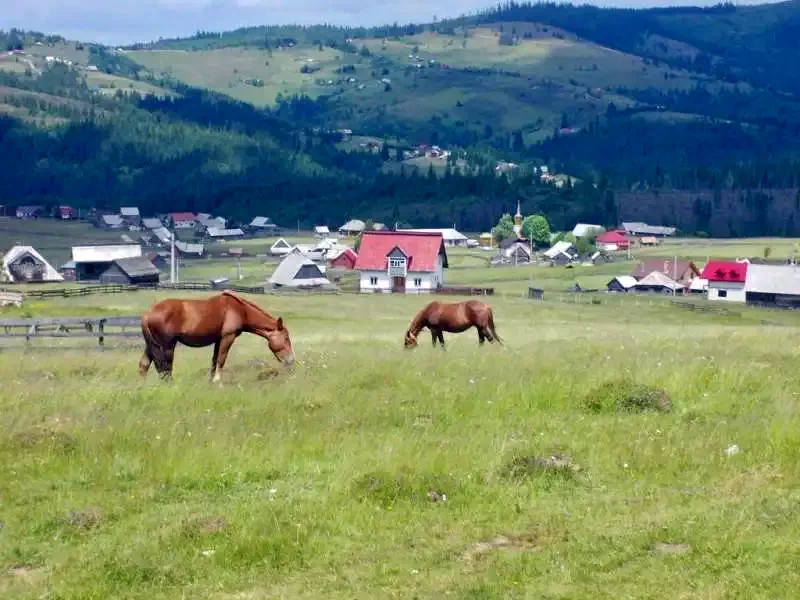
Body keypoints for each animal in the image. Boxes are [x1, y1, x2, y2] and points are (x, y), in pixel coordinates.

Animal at [141, 290, 296, 382]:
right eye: (286, 338)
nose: (291, 360)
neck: (240, 310)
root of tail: (147, 314)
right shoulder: (228, 337)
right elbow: (221, 360)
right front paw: (217, 382)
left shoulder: (218, 340)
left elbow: (214, 361)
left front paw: (211, 382)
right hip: (167, 346)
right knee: (166, 369)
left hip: (151, 345)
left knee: (144, 365)